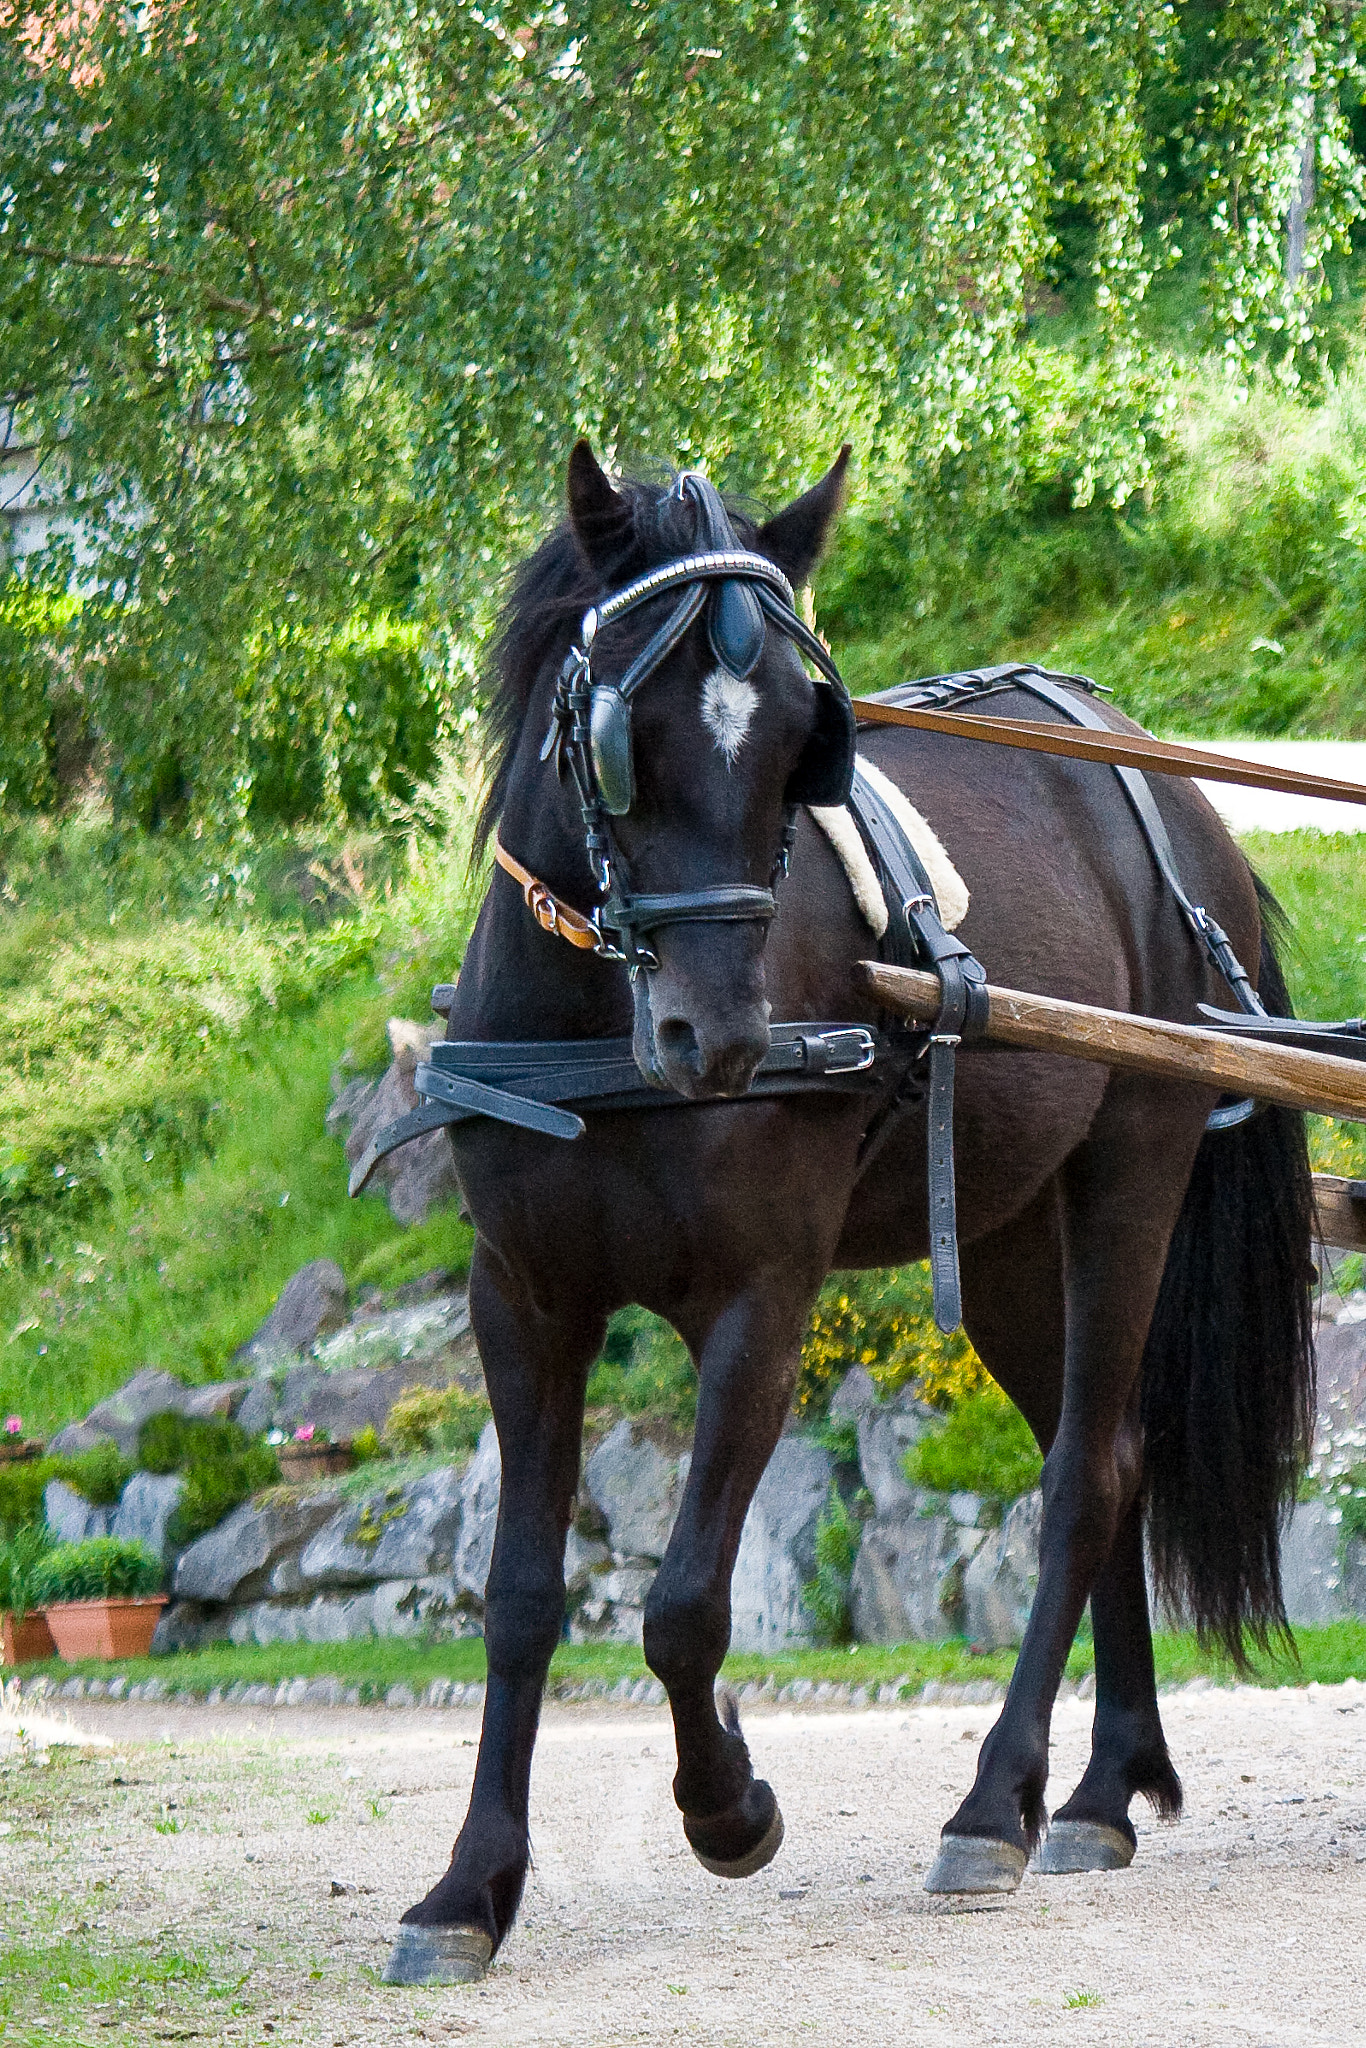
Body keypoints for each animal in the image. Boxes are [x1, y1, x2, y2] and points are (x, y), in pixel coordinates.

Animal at [382, 444, 1310, 1982]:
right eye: (623, 736)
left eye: (796, 746)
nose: (720, 1037)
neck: (602, 1032)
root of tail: (1174, 808)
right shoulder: (519, 1296)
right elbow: (517, 1600)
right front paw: (467, 1888)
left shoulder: (761, 1301)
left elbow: (684, 1605)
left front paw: (729, 1805)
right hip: (1004, 1237)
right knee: (1107, 1456)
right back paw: (1100, 1788)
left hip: (1130, 1172)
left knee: (1082, 1476)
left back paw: (995, 1804)